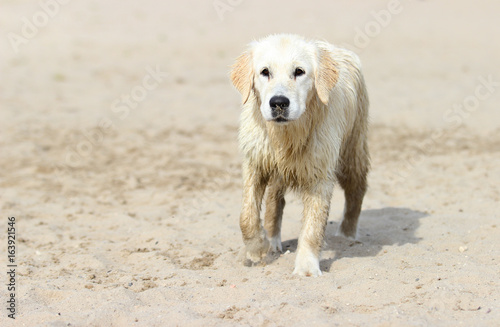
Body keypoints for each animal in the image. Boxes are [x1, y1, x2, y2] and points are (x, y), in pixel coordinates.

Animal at [231, 34, 372, 276]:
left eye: (299, 71)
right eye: (265, 72)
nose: (279, 103)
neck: (286, 135)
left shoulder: (320, 171)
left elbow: (313, 227)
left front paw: (306, 267)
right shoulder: (255, 161)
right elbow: (246, 216)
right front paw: (257, 249)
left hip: (352, 149)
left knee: (357, 189)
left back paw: (347, 234)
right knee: (274, 199)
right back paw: (273, 240)